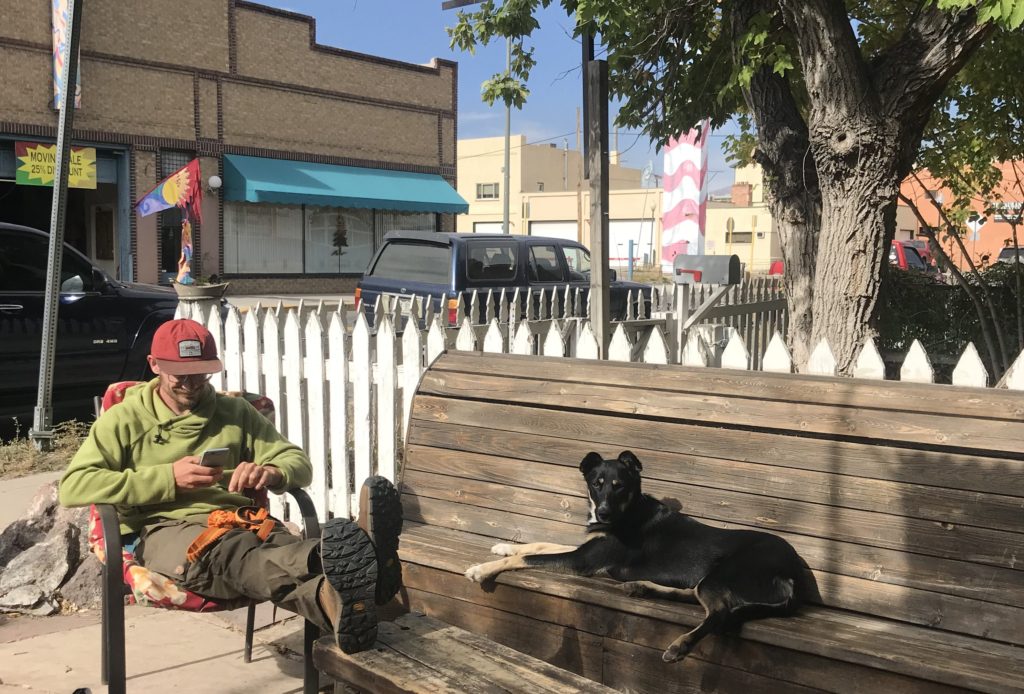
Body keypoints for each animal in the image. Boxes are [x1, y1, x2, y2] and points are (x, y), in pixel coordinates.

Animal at [464, 450, 806, 663]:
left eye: (619, 486)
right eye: (596, 484)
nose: (602, 513)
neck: (627, 512)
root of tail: (793, 573)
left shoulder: (582, 561)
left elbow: (528, 558)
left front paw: (483, 569)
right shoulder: (584, 550)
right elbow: (538, 545)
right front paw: (503, 547)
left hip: (724, 574)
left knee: (719, 612)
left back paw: (679, 645)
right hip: (709, 580)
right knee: (696, 596)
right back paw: (641, 587)